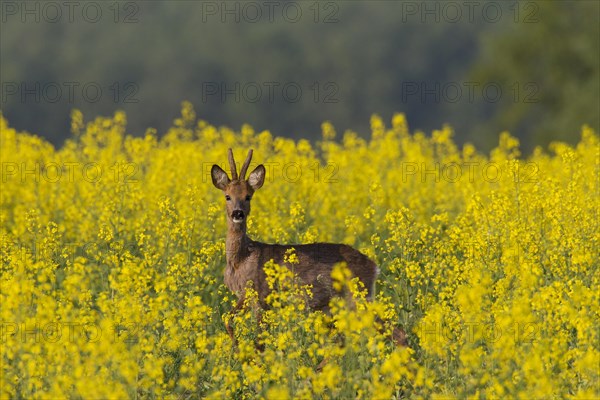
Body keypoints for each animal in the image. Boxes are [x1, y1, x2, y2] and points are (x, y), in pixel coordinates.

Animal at [211, 150, 408, 346]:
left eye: (248, 196)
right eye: (227, 196)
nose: (238, 213)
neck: (241, 259)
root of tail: (374, 266)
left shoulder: (259, 294)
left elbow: (256, 338)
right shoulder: (247, 297)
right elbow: (228, 319)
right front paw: (237, 347)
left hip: (358, 297)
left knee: (397, 333)